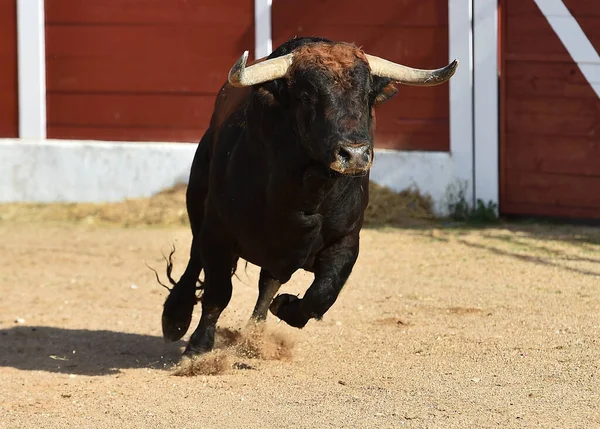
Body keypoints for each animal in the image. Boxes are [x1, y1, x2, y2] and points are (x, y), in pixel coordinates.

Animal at [157, 36, 458, 354]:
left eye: (367, 96)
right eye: (305, 97)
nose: (354, 154)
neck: (304, 196)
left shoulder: (345, 241)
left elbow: (322, 294)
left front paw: (286, 307)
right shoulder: (218, 233)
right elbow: (217, 293)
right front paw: (198, 347)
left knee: (268, 284)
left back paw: (254, 336)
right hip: (198, 198)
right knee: (195, 259)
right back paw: (175, 318)